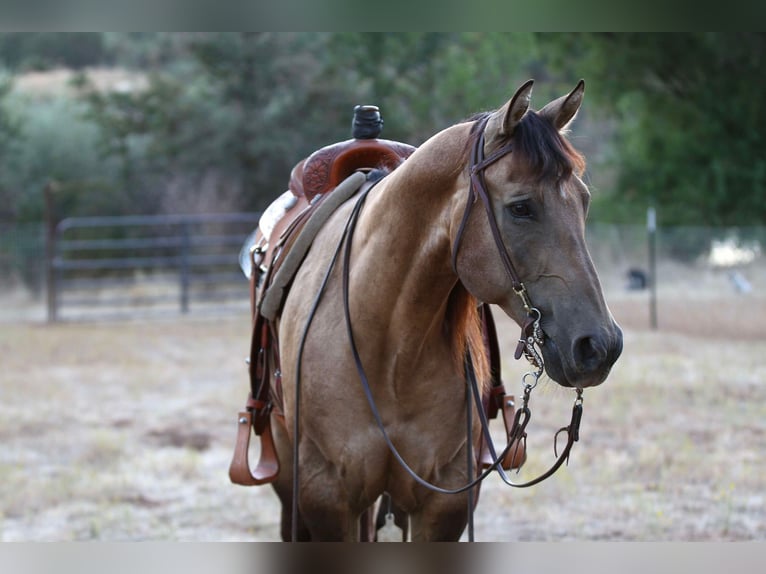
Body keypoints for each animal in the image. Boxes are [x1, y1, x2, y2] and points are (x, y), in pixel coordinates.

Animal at [232, 79, 624, 544]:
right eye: (521, 207)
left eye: (583, 201)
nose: (600, 346)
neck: (390, 351)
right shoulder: (325, 495)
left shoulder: (444, 501)